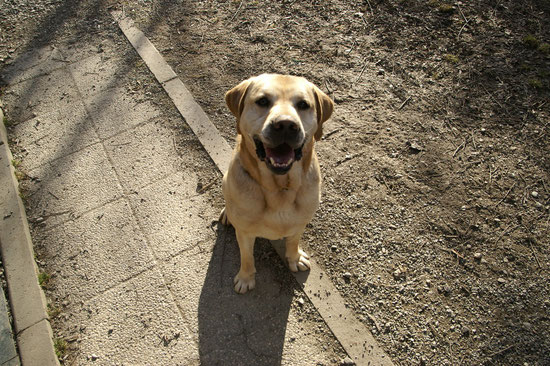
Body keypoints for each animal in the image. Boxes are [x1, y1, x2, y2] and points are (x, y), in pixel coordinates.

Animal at [221, 73, 334, 294]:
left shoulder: (300, 224)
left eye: (303, 104)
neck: (279, 186)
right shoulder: (244, 233)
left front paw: (295, 258)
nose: (286, 125)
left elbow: (293, 242)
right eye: (263, 101)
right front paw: (245, 278)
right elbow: (247, 257)